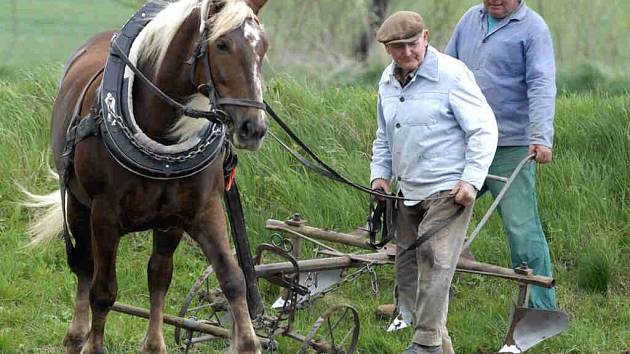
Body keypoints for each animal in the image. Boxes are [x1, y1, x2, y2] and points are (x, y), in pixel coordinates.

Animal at [25, 0, 270, 354]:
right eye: (222, 45)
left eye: (263, 47)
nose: (254, 128)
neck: (162, 134)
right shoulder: (104, 215)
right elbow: (103, 292)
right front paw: (92, 342)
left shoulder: (202, 211)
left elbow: (233, 279)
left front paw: (248, 339)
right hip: (78, 206)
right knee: (85, 268)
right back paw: (76, 336)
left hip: (167, 225)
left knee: (158, 273)